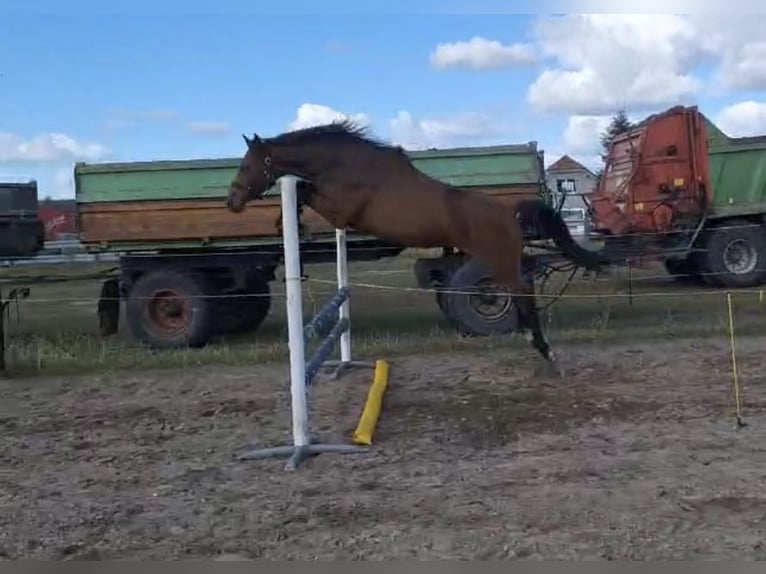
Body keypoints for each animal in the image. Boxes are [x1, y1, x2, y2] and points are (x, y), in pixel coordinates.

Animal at [225, 122, 608, 374]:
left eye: (247, 165)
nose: (232, 202)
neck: (345, 165)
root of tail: (508, 211)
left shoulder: (341, 211)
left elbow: (304, 191)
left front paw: (289, 224)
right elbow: (304, 189)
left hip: (499, 261)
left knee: (522, 293)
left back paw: (546, 352)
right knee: (524, 292)